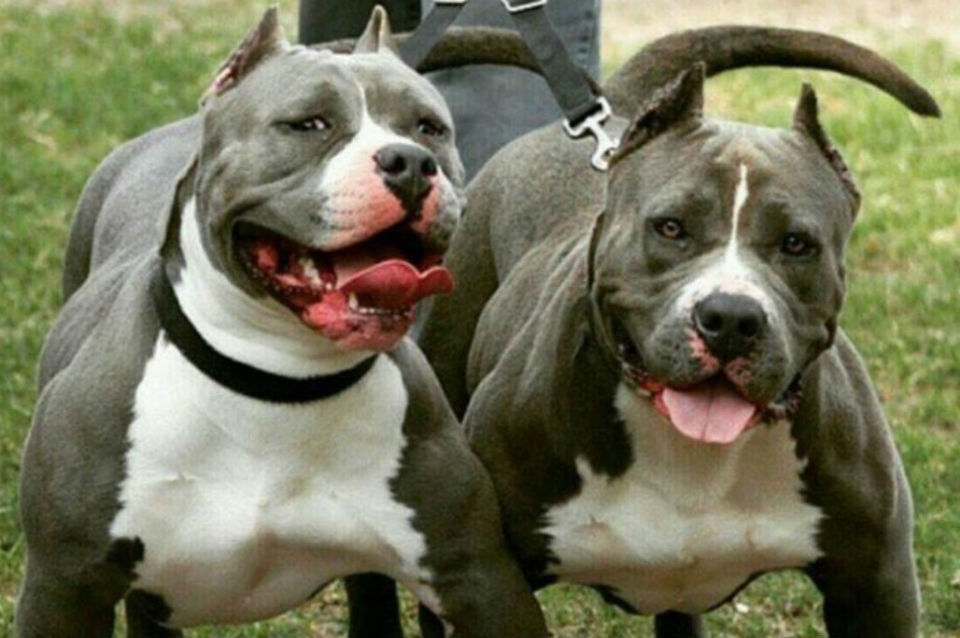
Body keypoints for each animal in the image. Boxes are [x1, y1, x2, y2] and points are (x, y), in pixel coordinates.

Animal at [16, 8, 548, 637]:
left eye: (429, 128)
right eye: (309, 124)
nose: (411, 163)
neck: (279, 381)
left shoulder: (480, 581)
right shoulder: (62, 588)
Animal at [417, 27, 940, 638]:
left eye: (796, 244)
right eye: (670, 228)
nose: (731, 318)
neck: (688, 453)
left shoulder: (877, 586)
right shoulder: (481, 587)